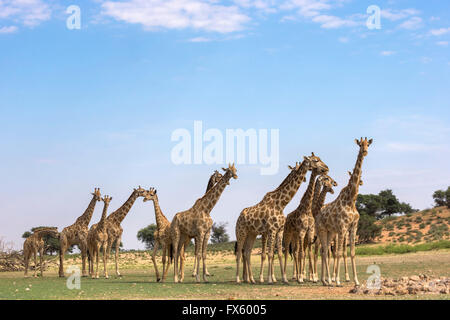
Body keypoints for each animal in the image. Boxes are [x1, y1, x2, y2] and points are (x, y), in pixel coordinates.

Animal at [236, 154, 326, 284]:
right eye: (316, 160)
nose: (326, 168)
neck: (281, 204)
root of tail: (239, 216)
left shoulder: (279, 230)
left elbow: (278, 253)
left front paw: (284, 279)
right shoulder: (272, 230)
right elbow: (269, 254)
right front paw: (269, 279)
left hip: (252, 234)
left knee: (247, 252)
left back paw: (251, 279)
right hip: (241, 232)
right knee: (239, 253)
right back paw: (238, 279)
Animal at [316, 136, 372, 286]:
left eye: (368, 144)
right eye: (360, 145)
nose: (365, 152)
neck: (351, 199)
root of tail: (317, 212)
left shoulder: (353, 227)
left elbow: (351, 253)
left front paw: (356, 281)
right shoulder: (342, 227)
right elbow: (340, 253)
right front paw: (337, 280)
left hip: (330, 232)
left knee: (326, 251)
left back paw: (326, 280)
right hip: (322, 230)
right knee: (324, 251)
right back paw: (327, 280)